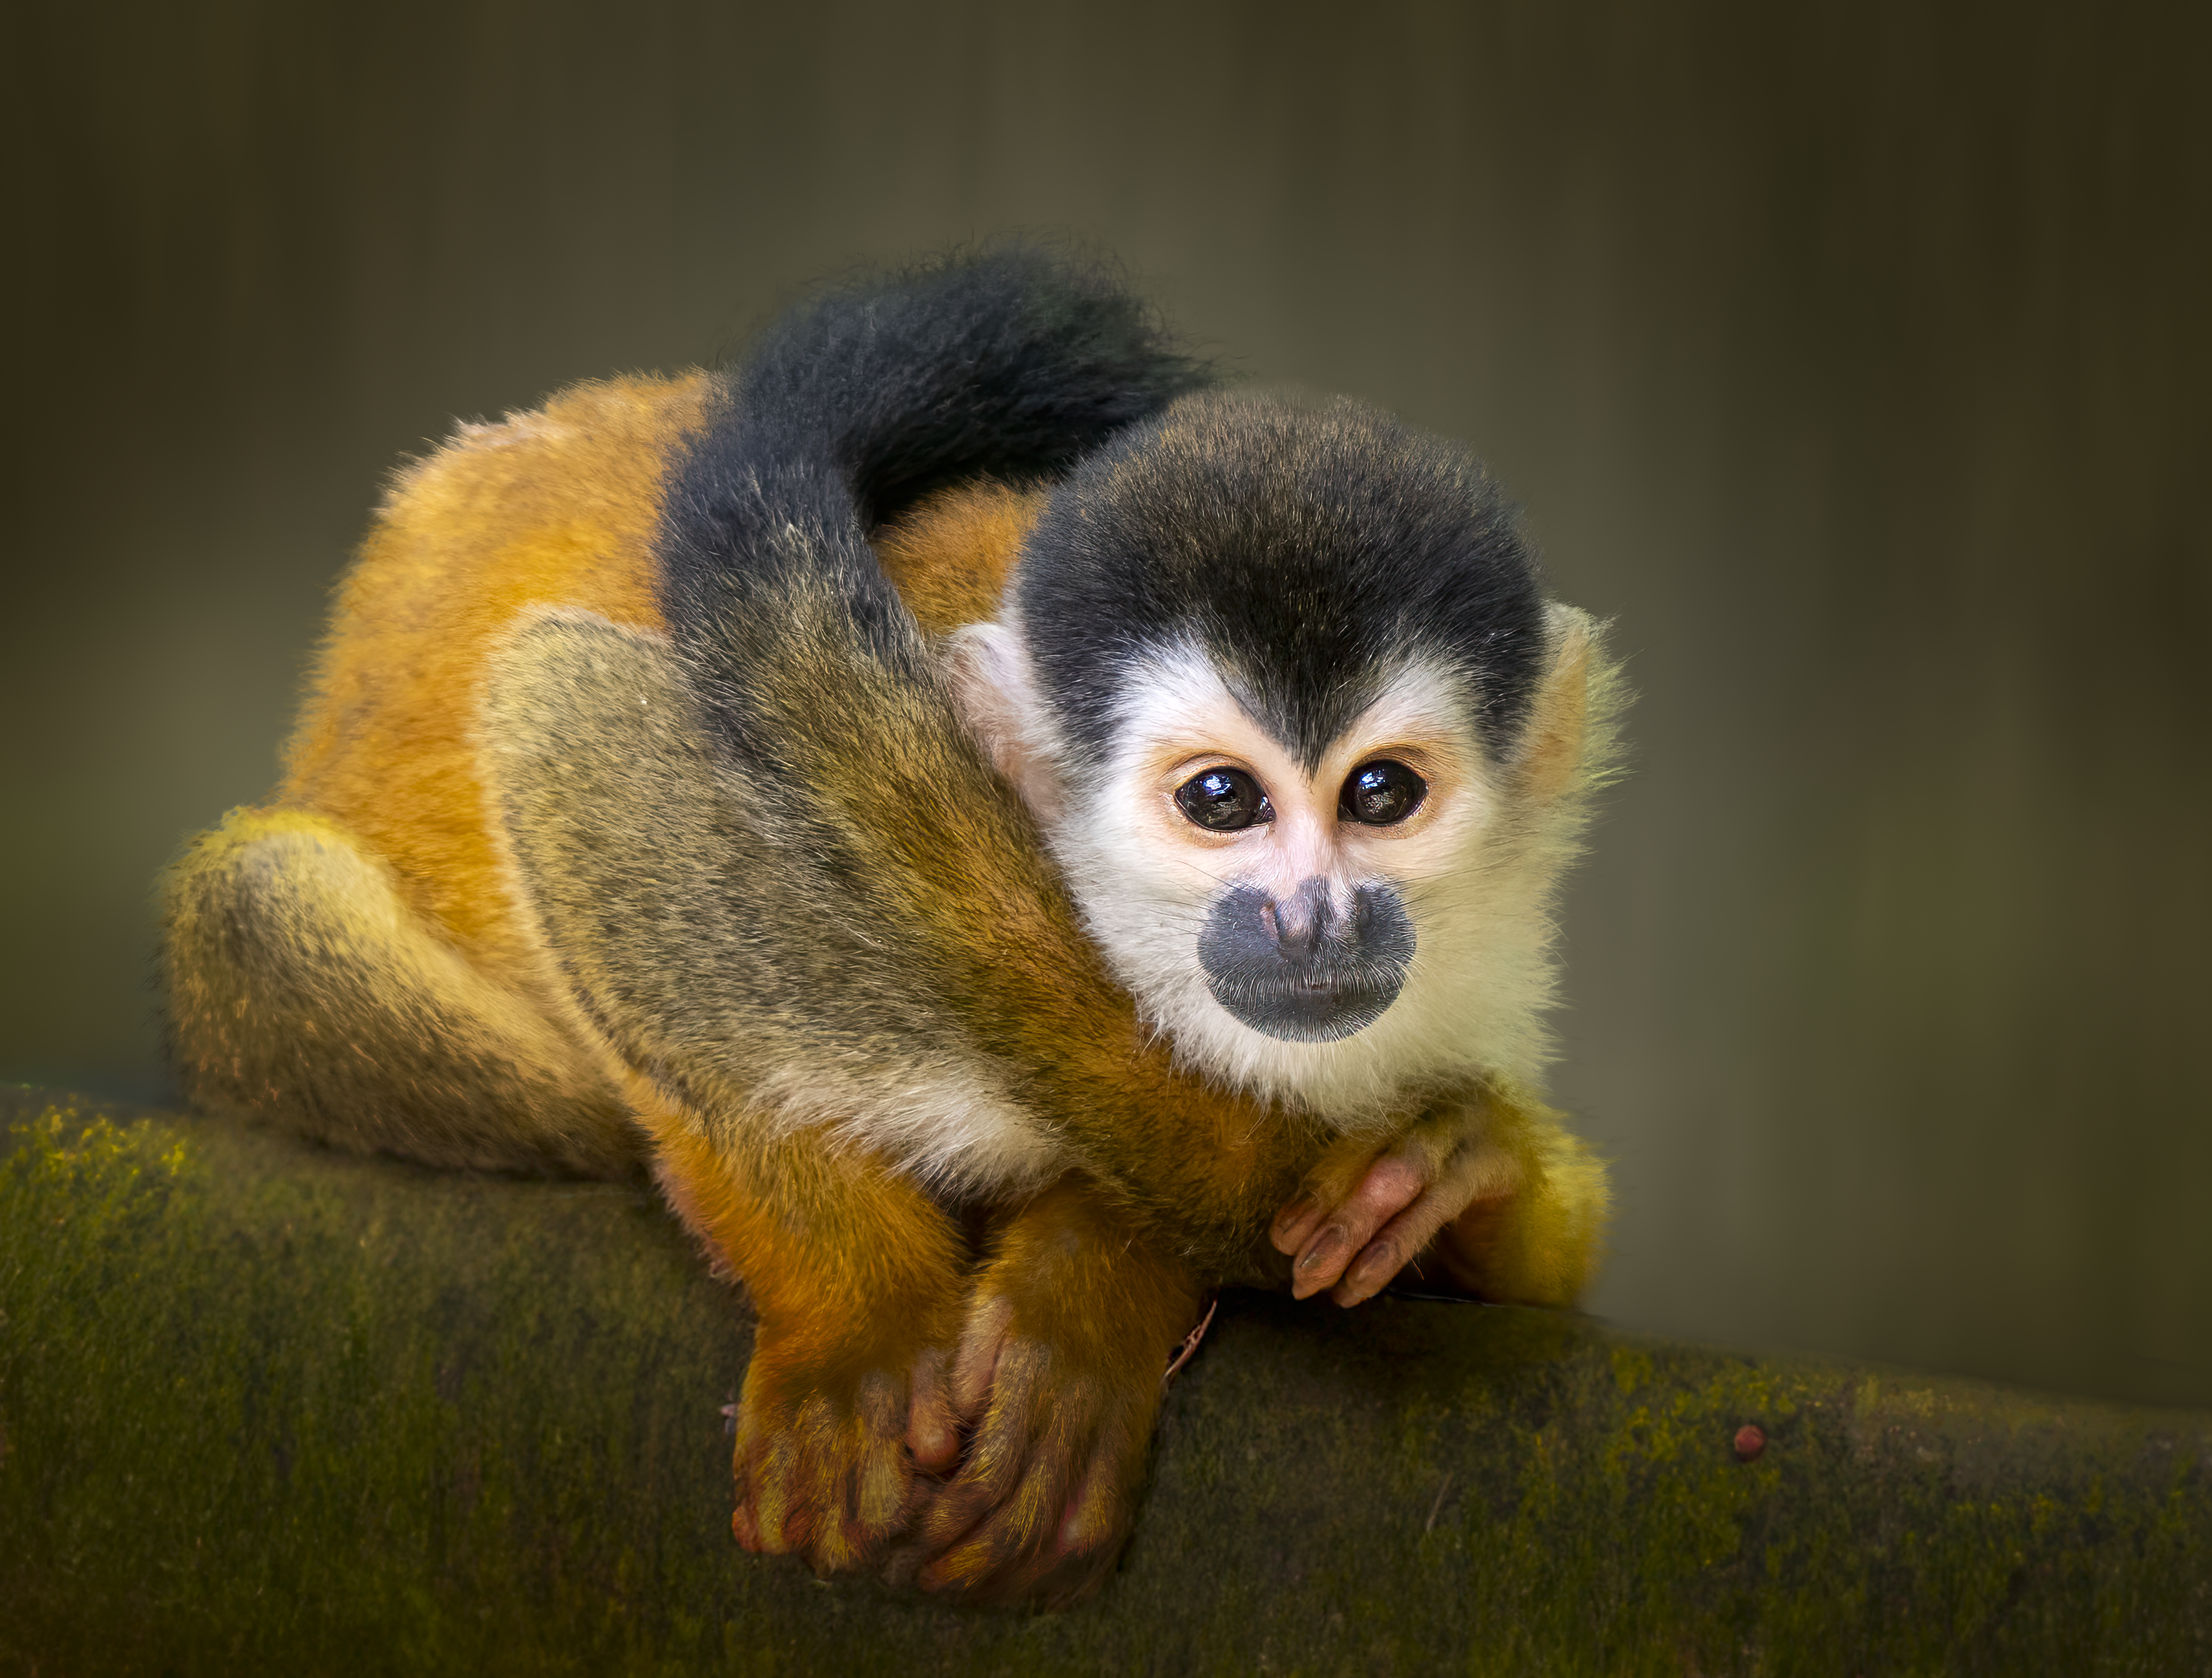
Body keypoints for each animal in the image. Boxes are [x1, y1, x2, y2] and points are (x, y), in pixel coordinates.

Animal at [159, 249, 1621, 1605]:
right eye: (1221, 799)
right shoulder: (819, 877)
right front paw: (860, 1319)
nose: (1312, 920)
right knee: (263, 909)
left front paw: (1431, 1174)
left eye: (1381, 793)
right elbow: (567, 722)